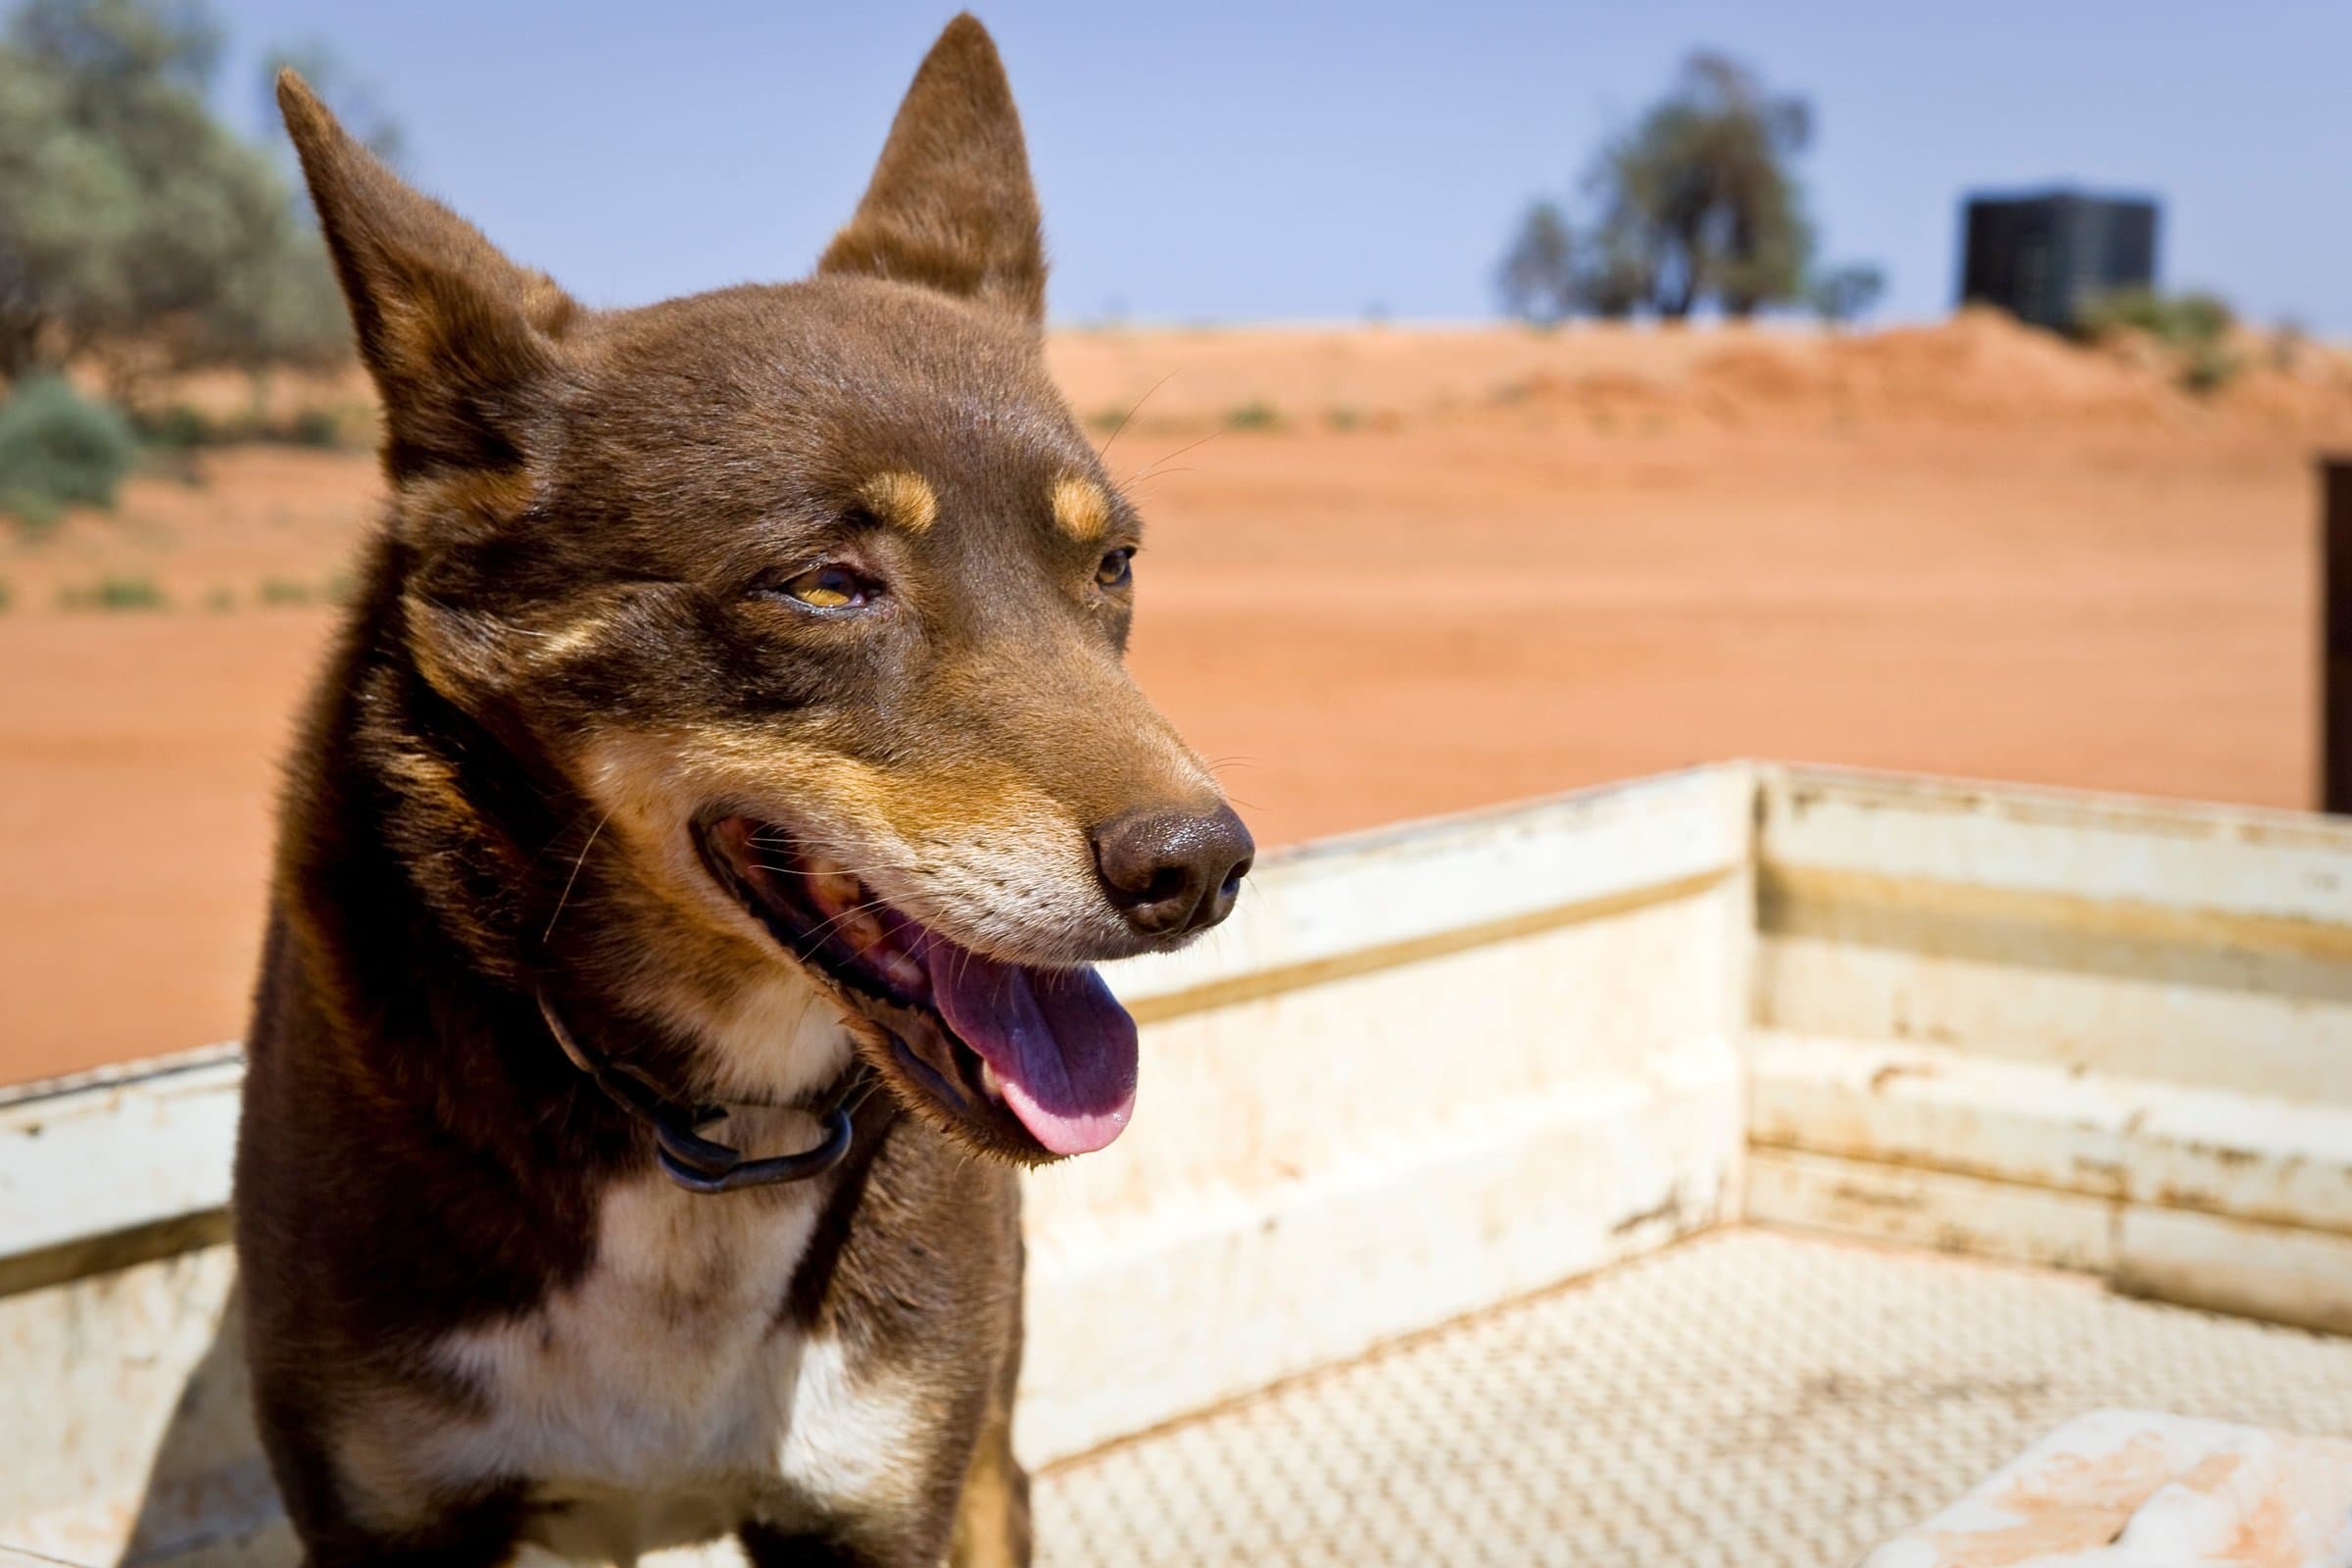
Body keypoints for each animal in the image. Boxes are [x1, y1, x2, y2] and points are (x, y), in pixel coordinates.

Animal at [236, 18, 1250, 1560]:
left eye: (1112, 563)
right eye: (825, 584)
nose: (1199, 865)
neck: (712, 1132)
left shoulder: (886, 1490)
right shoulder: (389, 1512)